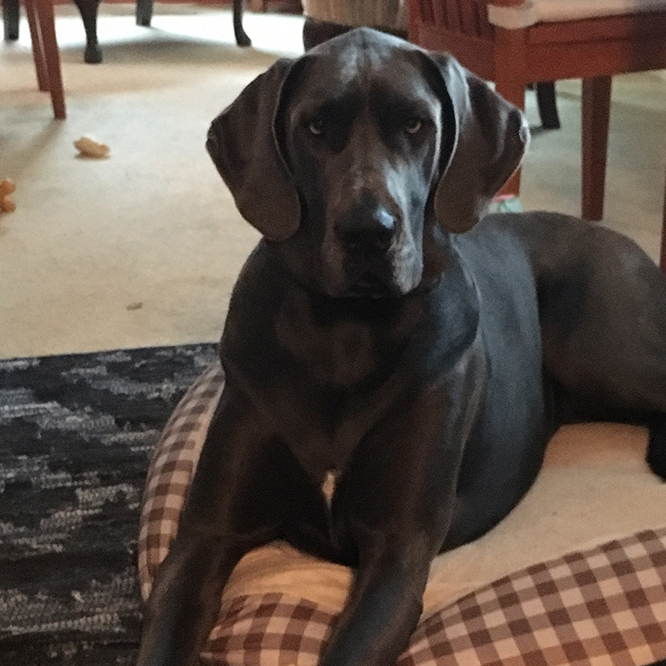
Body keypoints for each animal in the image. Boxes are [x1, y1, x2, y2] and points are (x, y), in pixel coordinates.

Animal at [137, 28, 666, 666]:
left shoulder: (397, 551)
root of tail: (619, 236)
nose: (369, 231)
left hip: (607, 349)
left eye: (416, 124)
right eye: (315, 126)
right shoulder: (206, 535)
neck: (345, 330)